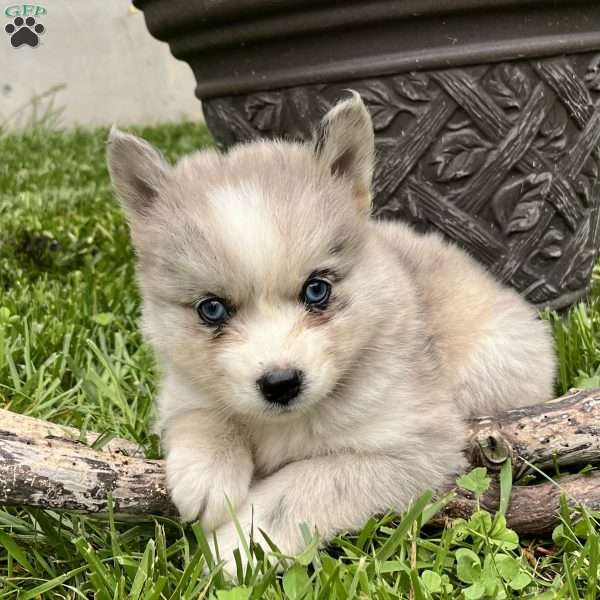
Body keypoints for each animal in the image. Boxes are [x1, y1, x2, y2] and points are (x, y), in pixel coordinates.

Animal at [105, 91, 556, 576]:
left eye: (316, 289)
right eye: (212, 309)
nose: (281, 384)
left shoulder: (416, 448)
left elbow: (310, 481)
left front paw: (242, 544)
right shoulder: (181, 389)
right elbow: (201, 412)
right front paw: (208, 473)